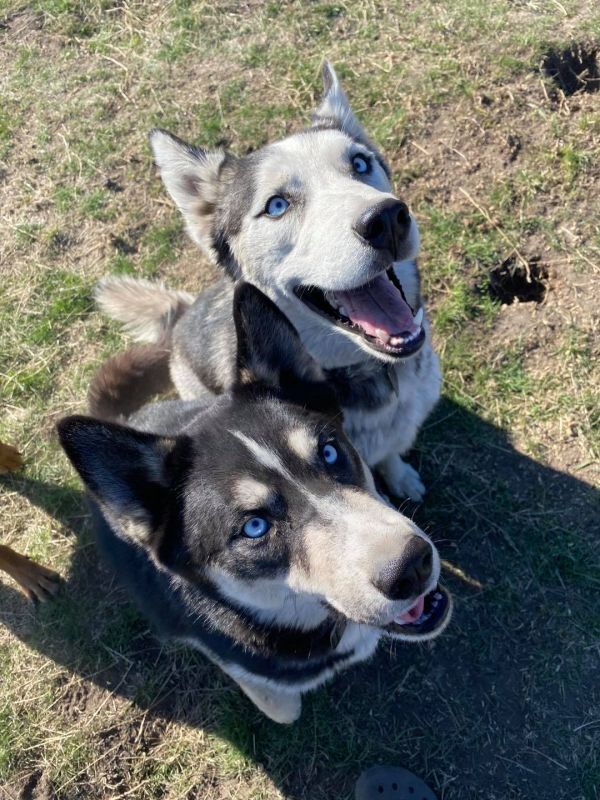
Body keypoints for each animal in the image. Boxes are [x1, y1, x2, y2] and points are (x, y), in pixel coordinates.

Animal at [95, 62, 440, 500]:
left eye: (360, 164)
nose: (386, 220)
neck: (362, 369)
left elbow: (392, 452)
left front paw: (401, 475)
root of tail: (183, 314)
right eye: (277, 205)